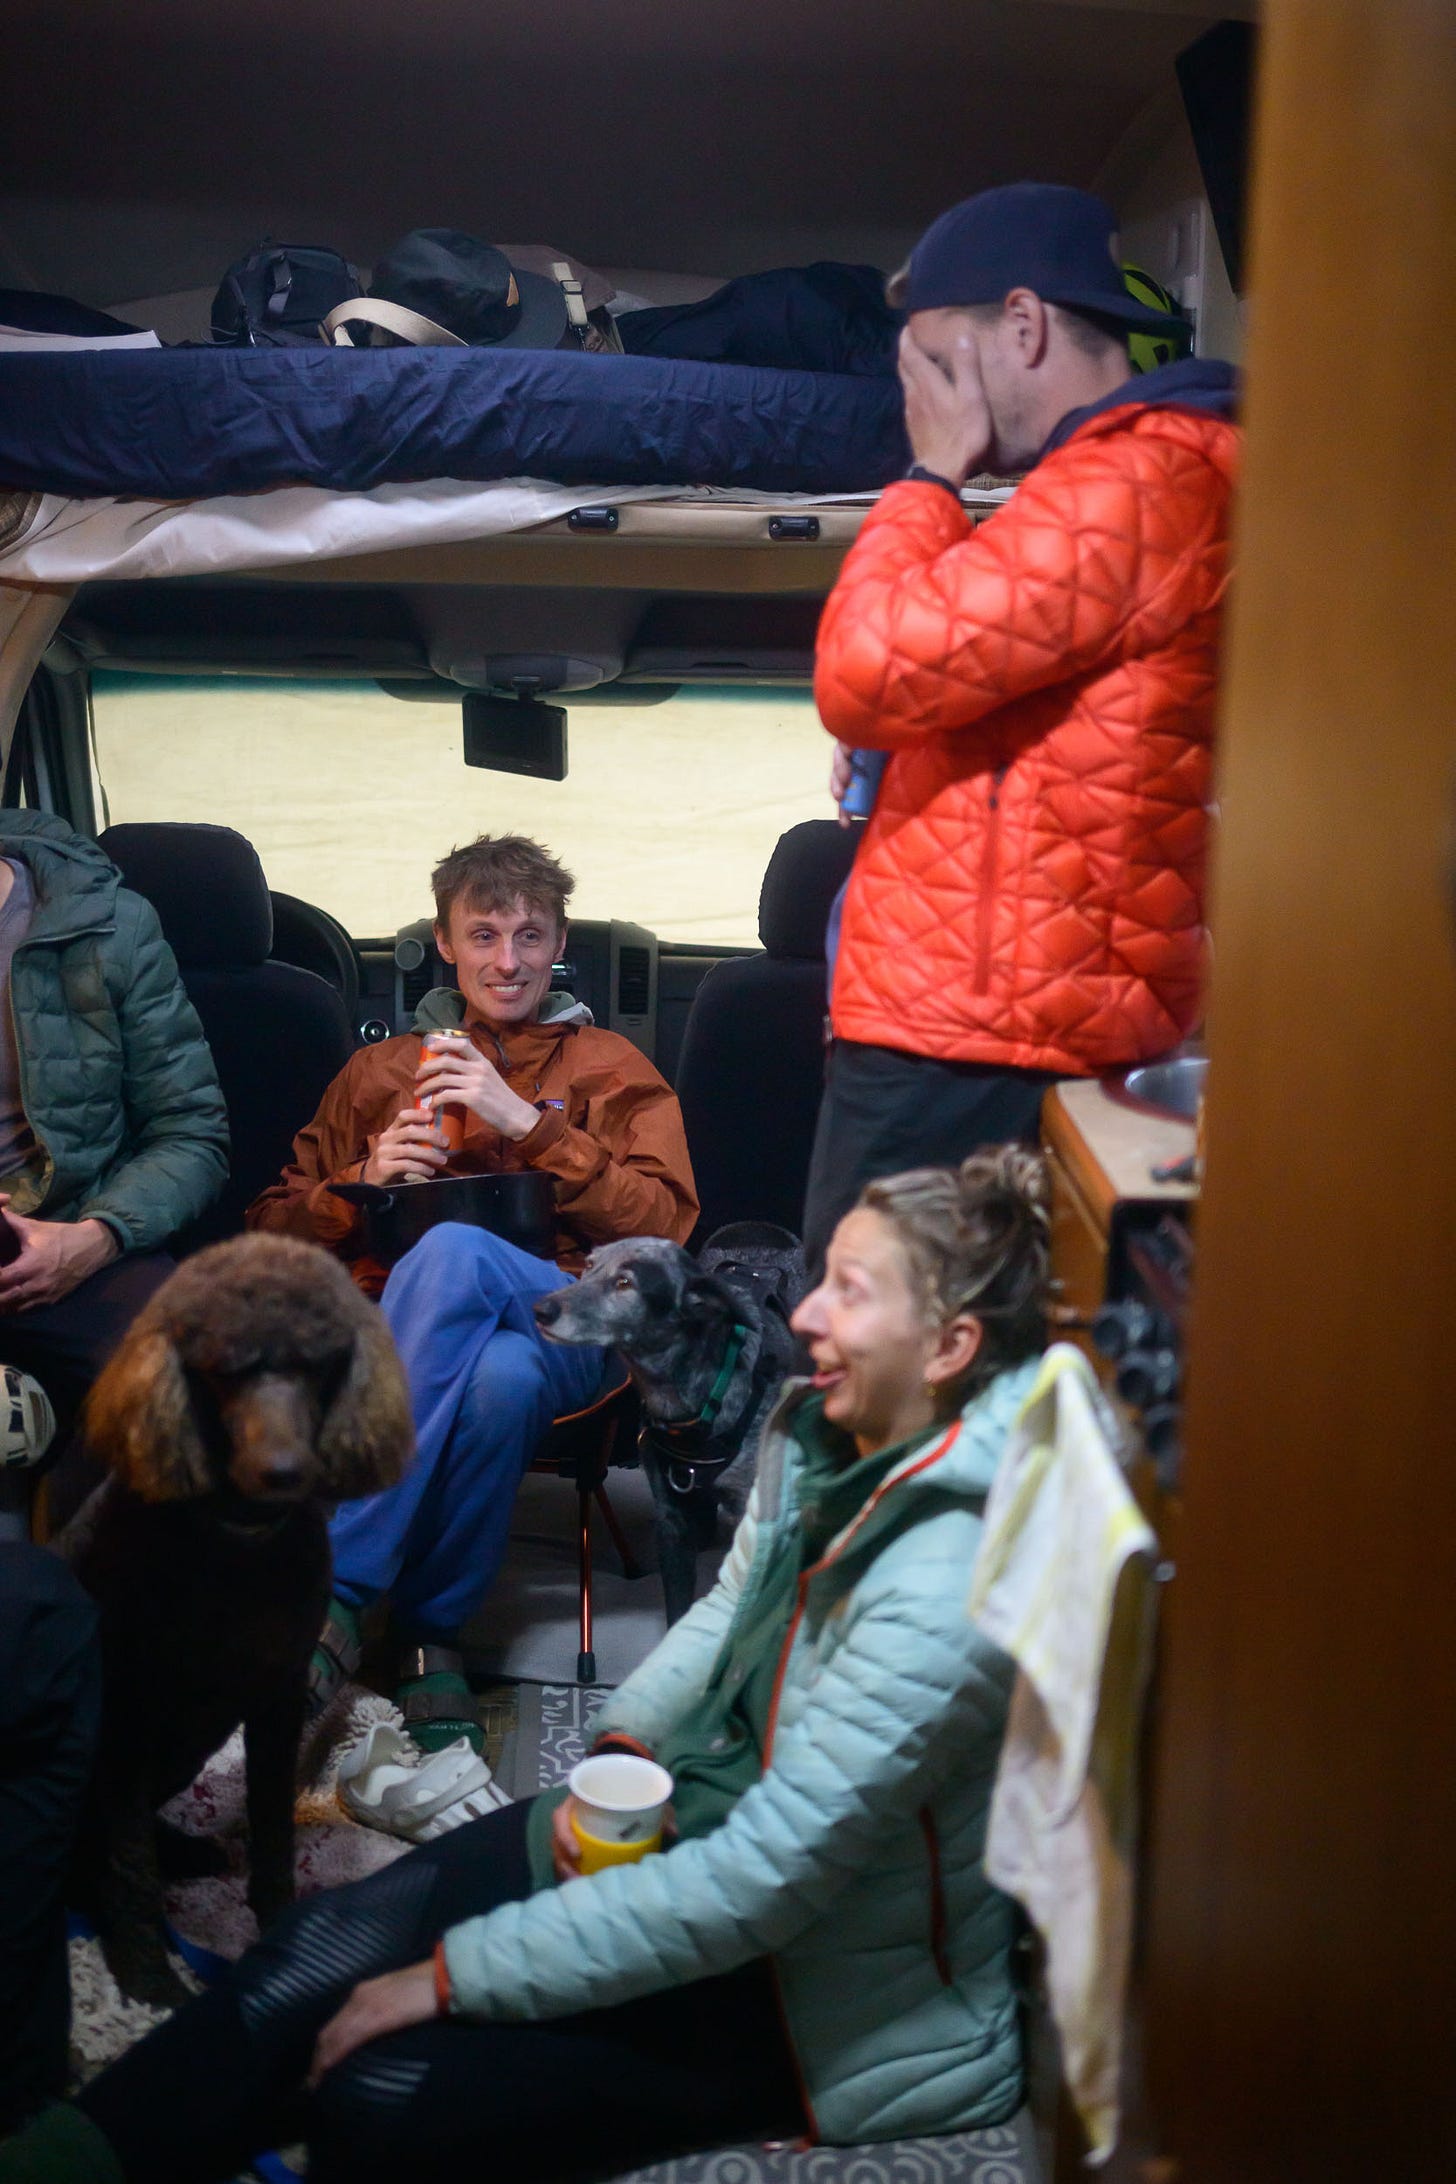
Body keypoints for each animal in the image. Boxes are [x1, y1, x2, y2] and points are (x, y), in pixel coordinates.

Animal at [57, 1234, 412, 2005]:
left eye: (317, 1365)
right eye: (223, 1372)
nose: (283, 1470)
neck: (238, 1547)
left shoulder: (277, 1696)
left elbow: (275, 1829)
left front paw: (282, 1940)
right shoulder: (129, 1712)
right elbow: (128, 1864)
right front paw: (148, 1979)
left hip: (184, 1750)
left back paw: (187, 1851)